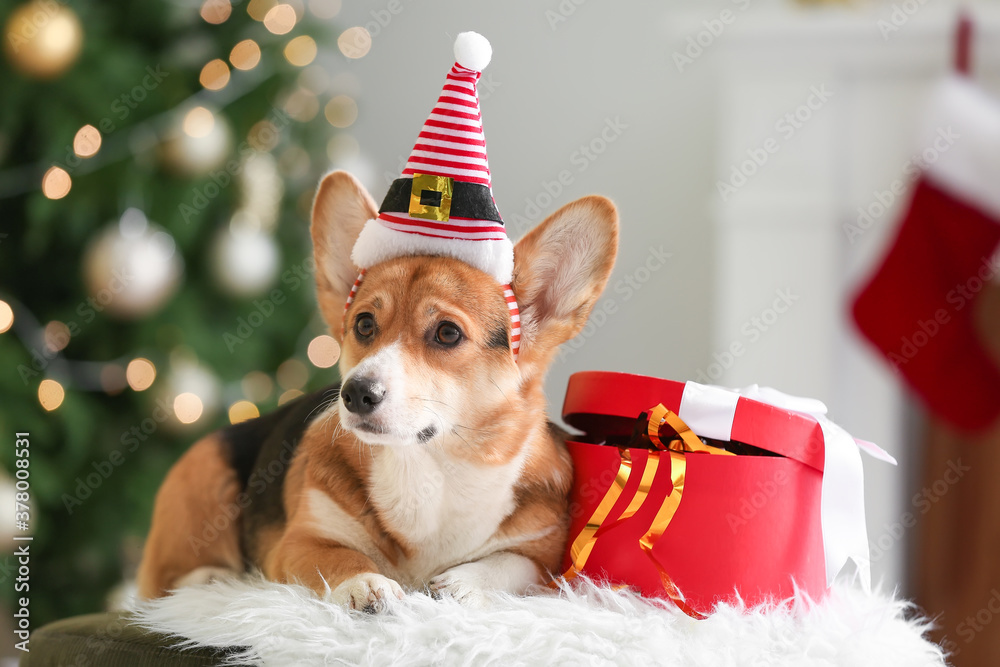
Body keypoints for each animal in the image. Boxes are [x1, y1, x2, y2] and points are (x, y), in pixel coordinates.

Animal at [133, 172, 616, 612]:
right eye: (364, 324)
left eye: (447, 333)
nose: (355, 394)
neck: (427, 467)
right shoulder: (299, 541)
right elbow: (340, 557)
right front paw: (366, 584)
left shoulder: (544, 555)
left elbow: (509, 564)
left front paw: (463, 585)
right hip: (204, 475)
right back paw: (210, 579)